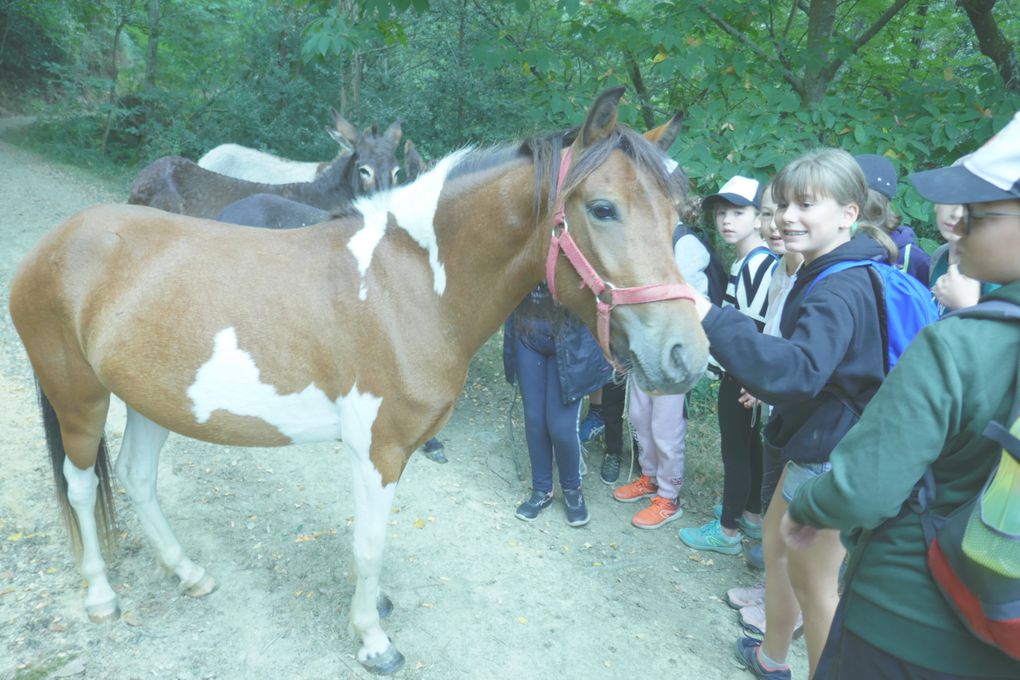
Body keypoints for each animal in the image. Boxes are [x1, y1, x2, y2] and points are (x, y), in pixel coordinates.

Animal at [7, 89, 709, 676]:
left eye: (678, 214)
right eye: (603, 208)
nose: (686, 355)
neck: (410, 287)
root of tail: (57, 243)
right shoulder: (380, 449)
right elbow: (369, 545)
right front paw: (374, 640)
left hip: (155, 397)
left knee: (136, 477)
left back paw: (189, 572)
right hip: (78, 397)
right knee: (79, 485)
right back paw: (101, 595)